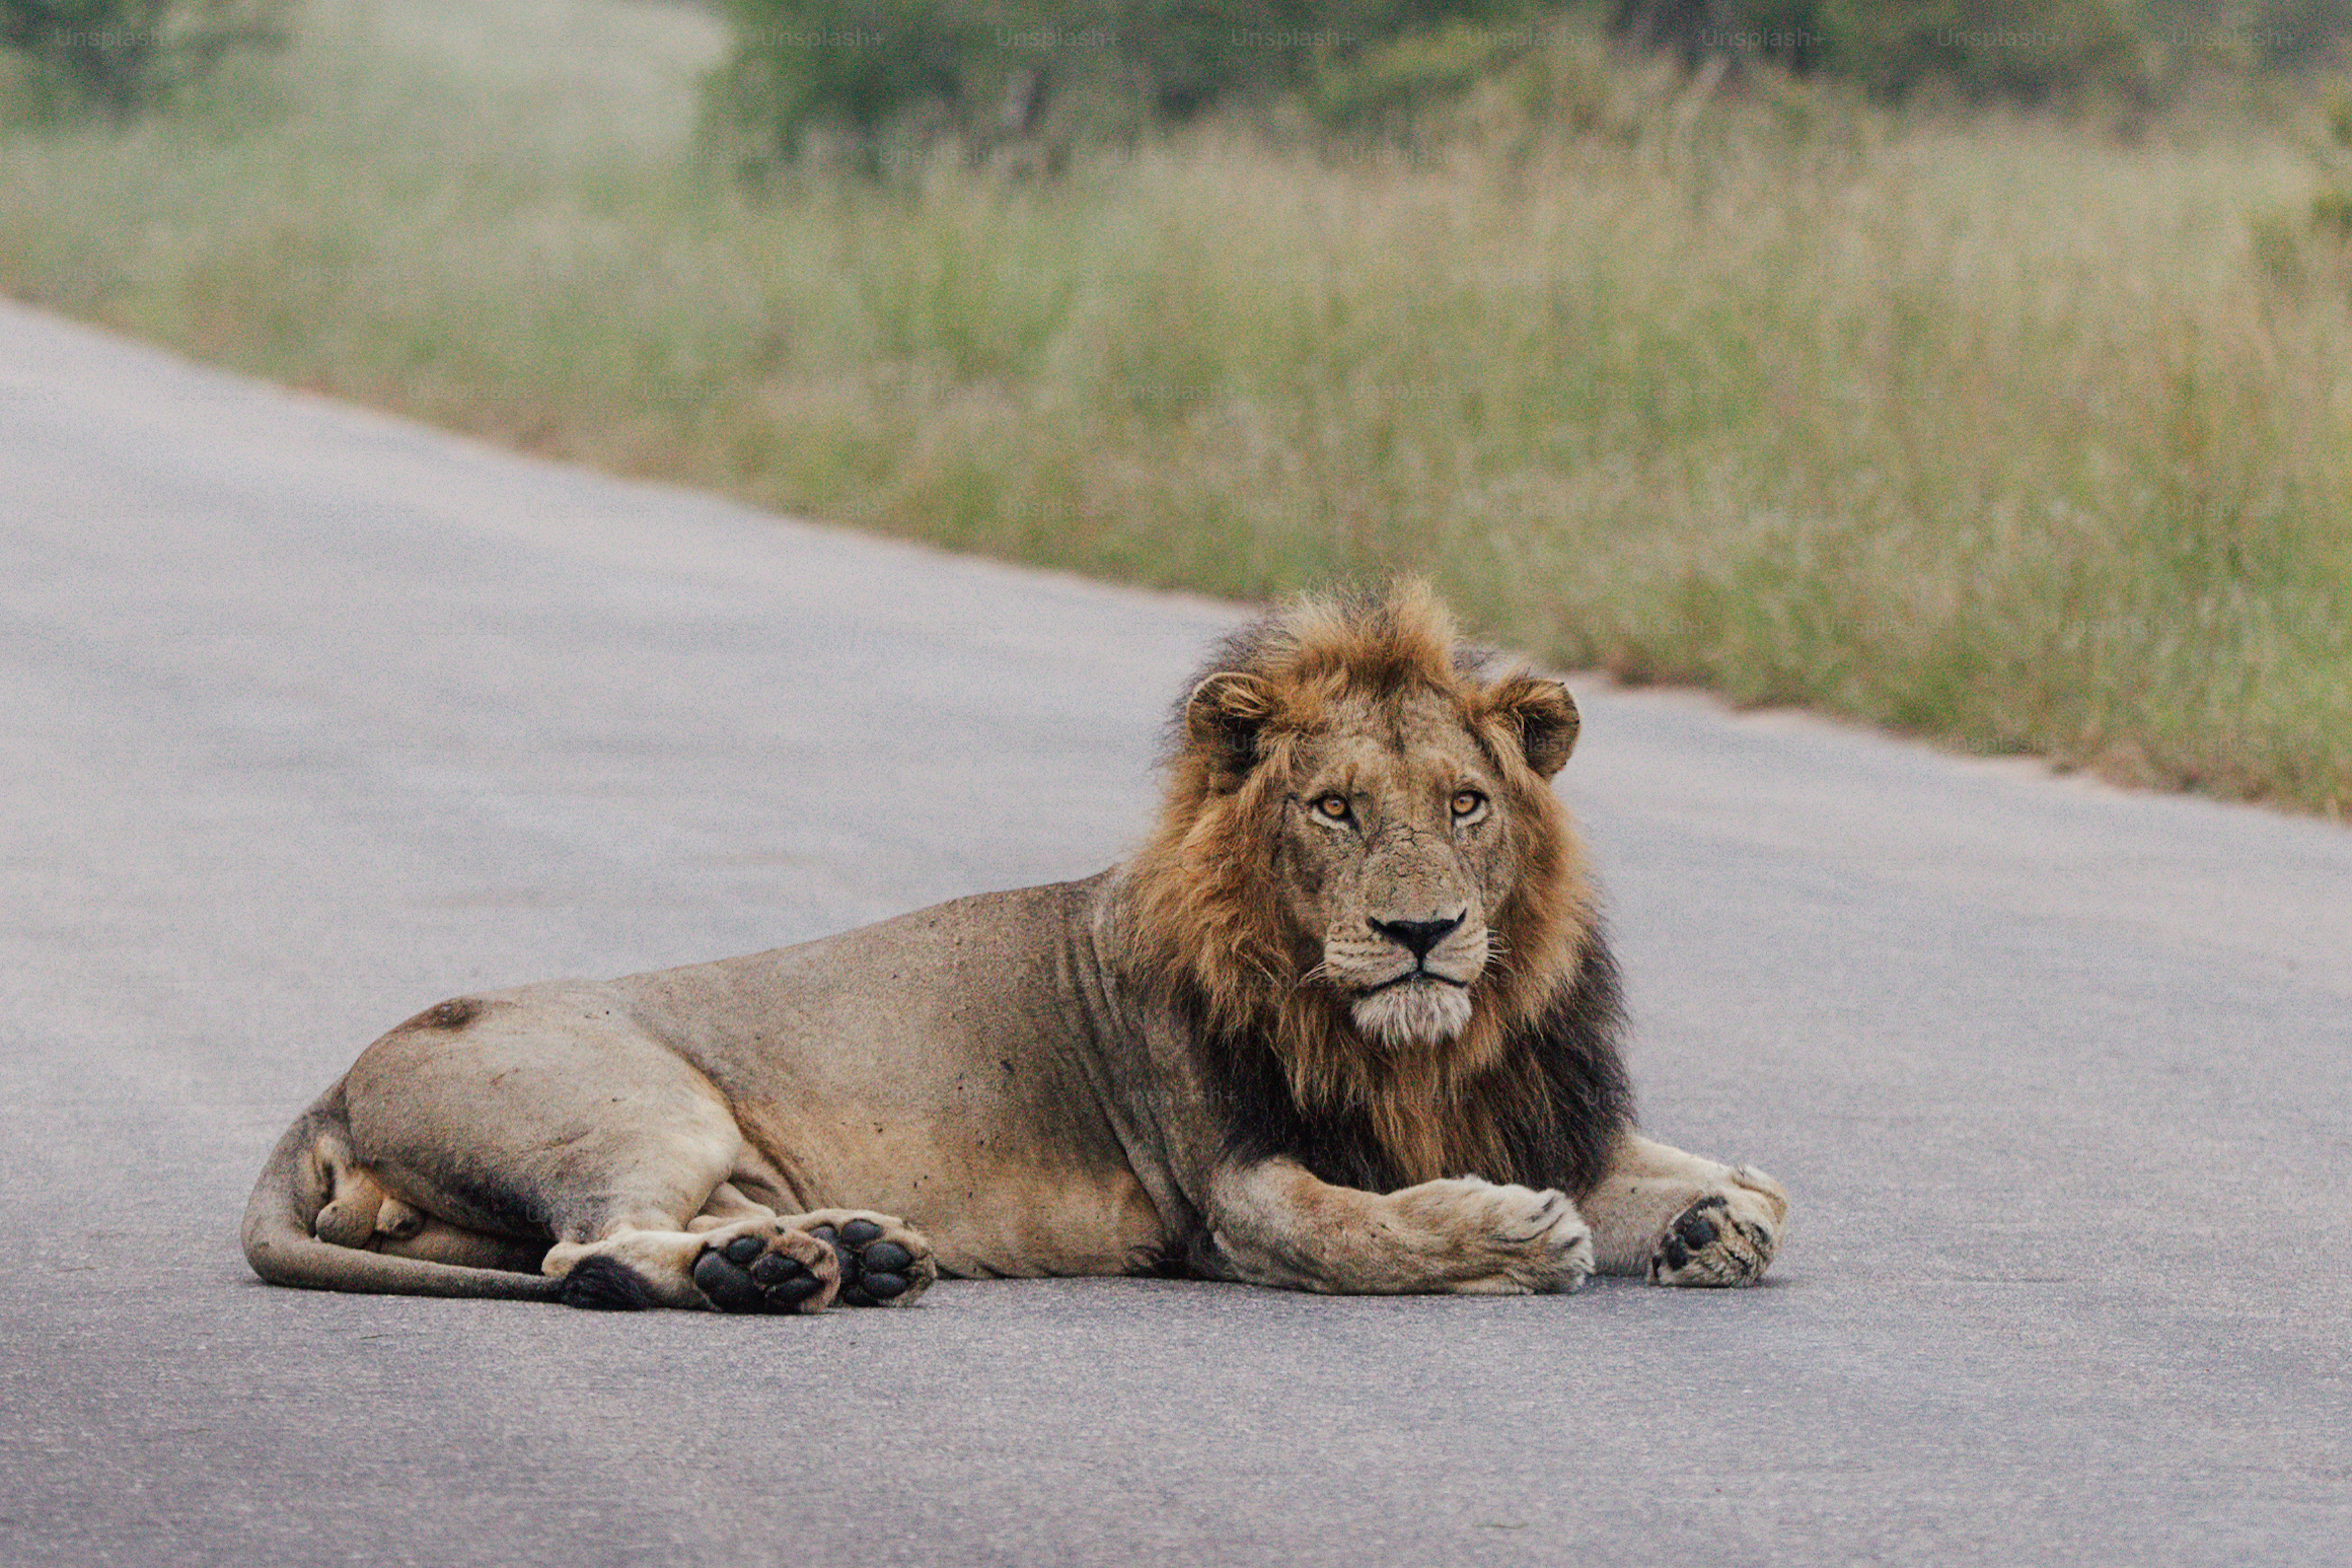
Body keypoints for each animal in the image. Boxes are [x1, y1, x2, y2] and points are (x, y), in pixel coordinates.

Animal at [244, 582, 1787, 1312]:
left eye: (1465, 803)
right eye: (1336, 807)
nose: (1422, 931)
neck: (1416, 1050)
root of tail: (332, 1080)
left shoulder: (1522, 1106)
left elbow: (1713, 1185)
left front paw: (1716, 1210)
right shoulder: (1227, 1193)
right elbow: (1364, 1229)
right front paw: (1509, 1232)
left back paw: (838, 1252)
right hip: (644, 1101)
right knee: (593, 1250)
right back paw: (782, 1275)